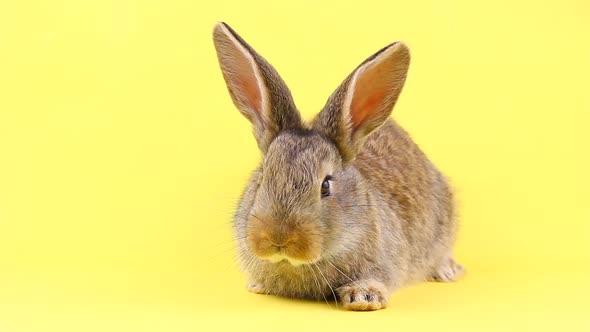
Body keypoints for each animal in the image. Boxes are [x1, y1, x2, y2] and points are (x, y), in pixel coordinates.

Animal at [213, 22, 468, 310]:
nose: (278, 238)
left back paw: (448, 270)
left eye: (326, 186)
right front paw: (258, 285)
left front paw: (363, 299)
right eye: (263, 176)